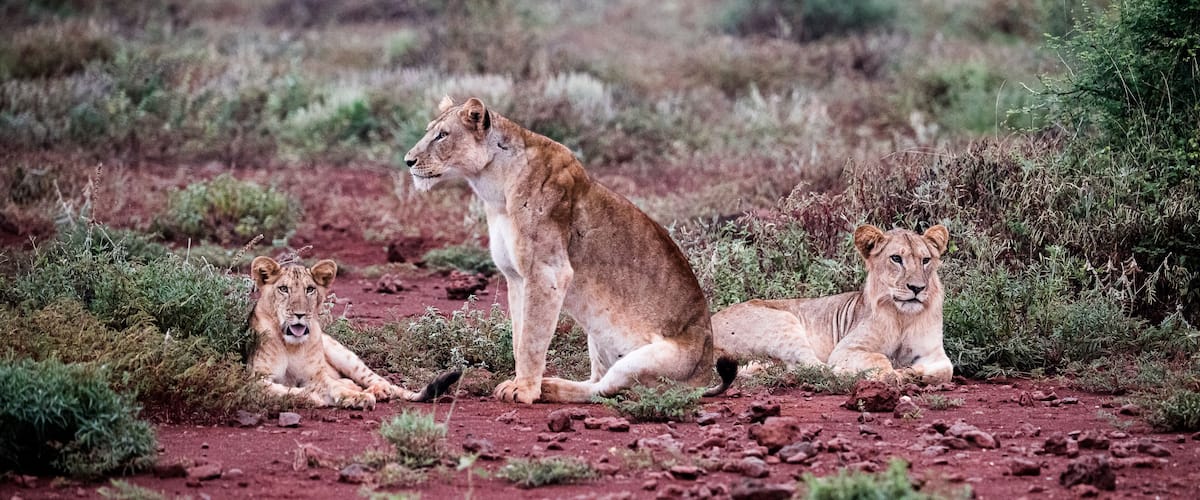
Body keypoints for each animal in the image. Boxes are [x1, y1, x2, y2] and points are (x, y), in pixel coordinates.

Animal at [249, 256, 460, 409]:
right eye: (283, 289)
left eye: (310, 289)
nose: (300, 314)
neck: (290, 345)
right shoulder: (255, 380)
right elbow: (285, 390)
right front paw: (316, 398)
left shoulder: (315, 376)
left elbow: (332, 386)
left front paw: (358, 397)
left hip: (342, 353)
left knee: (380, 381)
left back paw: (377, 391)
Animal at [402, 96, 735, 404]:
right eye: (430, 131)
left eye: (442, 135)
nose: (407, 160)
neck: (494, 189)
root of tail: (704, 377)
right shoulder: (516, 277)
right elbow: (519, 337)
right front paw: (522, 383)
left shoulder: (547, 271)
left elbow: (532, 339)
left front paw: (524, 390)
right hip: (597, 336)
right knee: (598, 382)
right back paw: (553, 385)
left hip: (648, 360)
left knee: (607, 389)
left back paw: (552, 388)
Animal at [711, 224, 953, 385]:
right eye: (896, 259)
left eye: (925, 260)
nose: (917, 288)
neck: (903, 317)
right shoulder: (846, 349)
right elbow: (879, 358)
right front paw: (896, 373)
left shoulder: (933, 352)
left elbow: (946, 370)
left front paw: (916, 373)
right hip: (784, 322)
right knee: (817, 368)